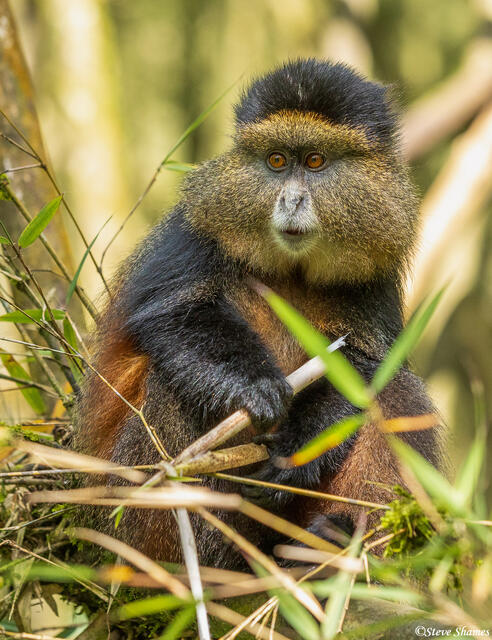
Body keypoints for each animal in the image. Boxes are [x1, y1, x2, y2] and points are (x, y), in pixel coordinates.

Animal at [75, 59, 444, 568]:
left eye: (315, 161)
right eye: (276, 161)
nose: (290, 199)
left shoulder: (377, 270)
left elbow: (366, 365)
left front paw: (293, 453)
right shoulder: (197, 227)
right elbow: (174, 313)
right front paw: (258, 390)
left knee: (399, 394)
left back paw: (332, 546)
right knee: (175, 390)